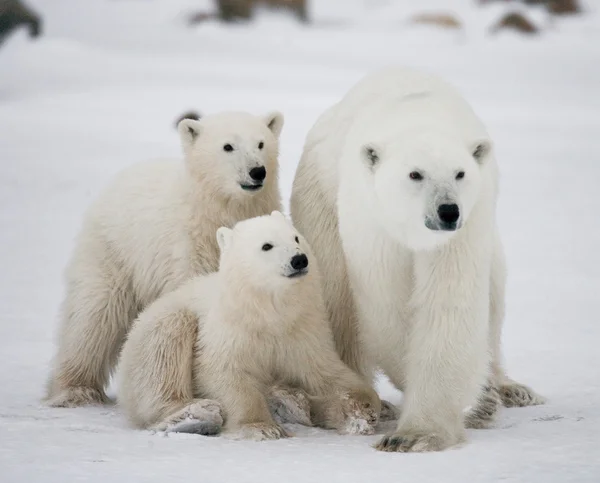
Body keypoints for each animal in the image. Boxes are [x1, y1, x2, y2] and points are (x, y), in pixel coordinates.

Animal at [290, 68, 544, 454]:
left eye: (460, 173)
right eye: (415, 174)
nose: (448, 211)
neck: (419, 114)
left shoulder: (467, 226)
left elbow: (449, 304)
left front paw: (419, 433)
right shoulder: (373, 220)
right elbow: (389, 305)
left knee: (494, 298)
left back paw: (508, 389)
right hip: (319, 200)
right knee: (337, 297)